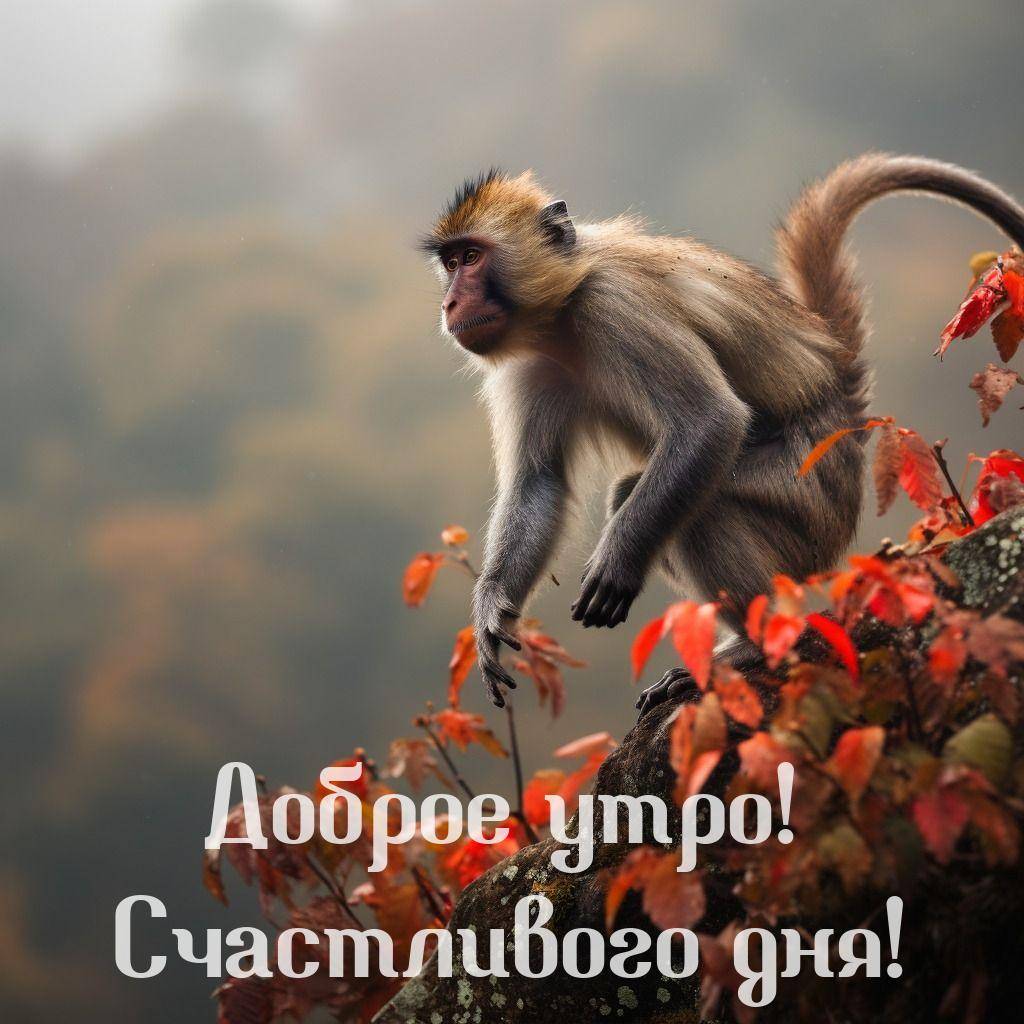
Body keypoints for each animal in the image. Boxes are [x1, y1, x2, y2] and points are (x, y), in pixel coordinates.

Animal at [419, 155, 1024, 714]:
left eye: (471, 258)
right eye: (450, 263)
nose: (449, 302)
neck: (562, 309)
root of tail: (841, 397)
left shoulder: (616, 306)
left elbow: (710, 422)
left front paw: (617, 562)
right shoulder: (530, 364)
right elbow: (539, 483)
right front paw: (492, 613)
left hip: (812, 492)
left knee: (704, 506)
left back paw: (755, 646)